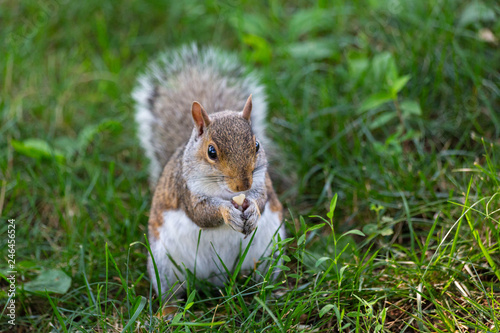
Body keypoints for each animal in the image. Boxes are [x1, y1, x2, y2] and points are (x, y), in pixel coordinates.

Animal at [133, 42, 286, 300]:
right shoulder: (185, 189)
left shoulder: (261, 182)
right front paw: (227, 212)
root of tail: (217, 279)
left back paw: (270, 293)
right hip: (164, 265)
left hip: (269, 252)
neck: (226, 192)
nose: (243, 186)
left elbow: (263, 200)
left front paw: (253, 210)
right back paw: (170, 307)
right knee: (170, 293)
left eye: (256, 145)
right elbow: (200, 213)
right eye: (211, 151)